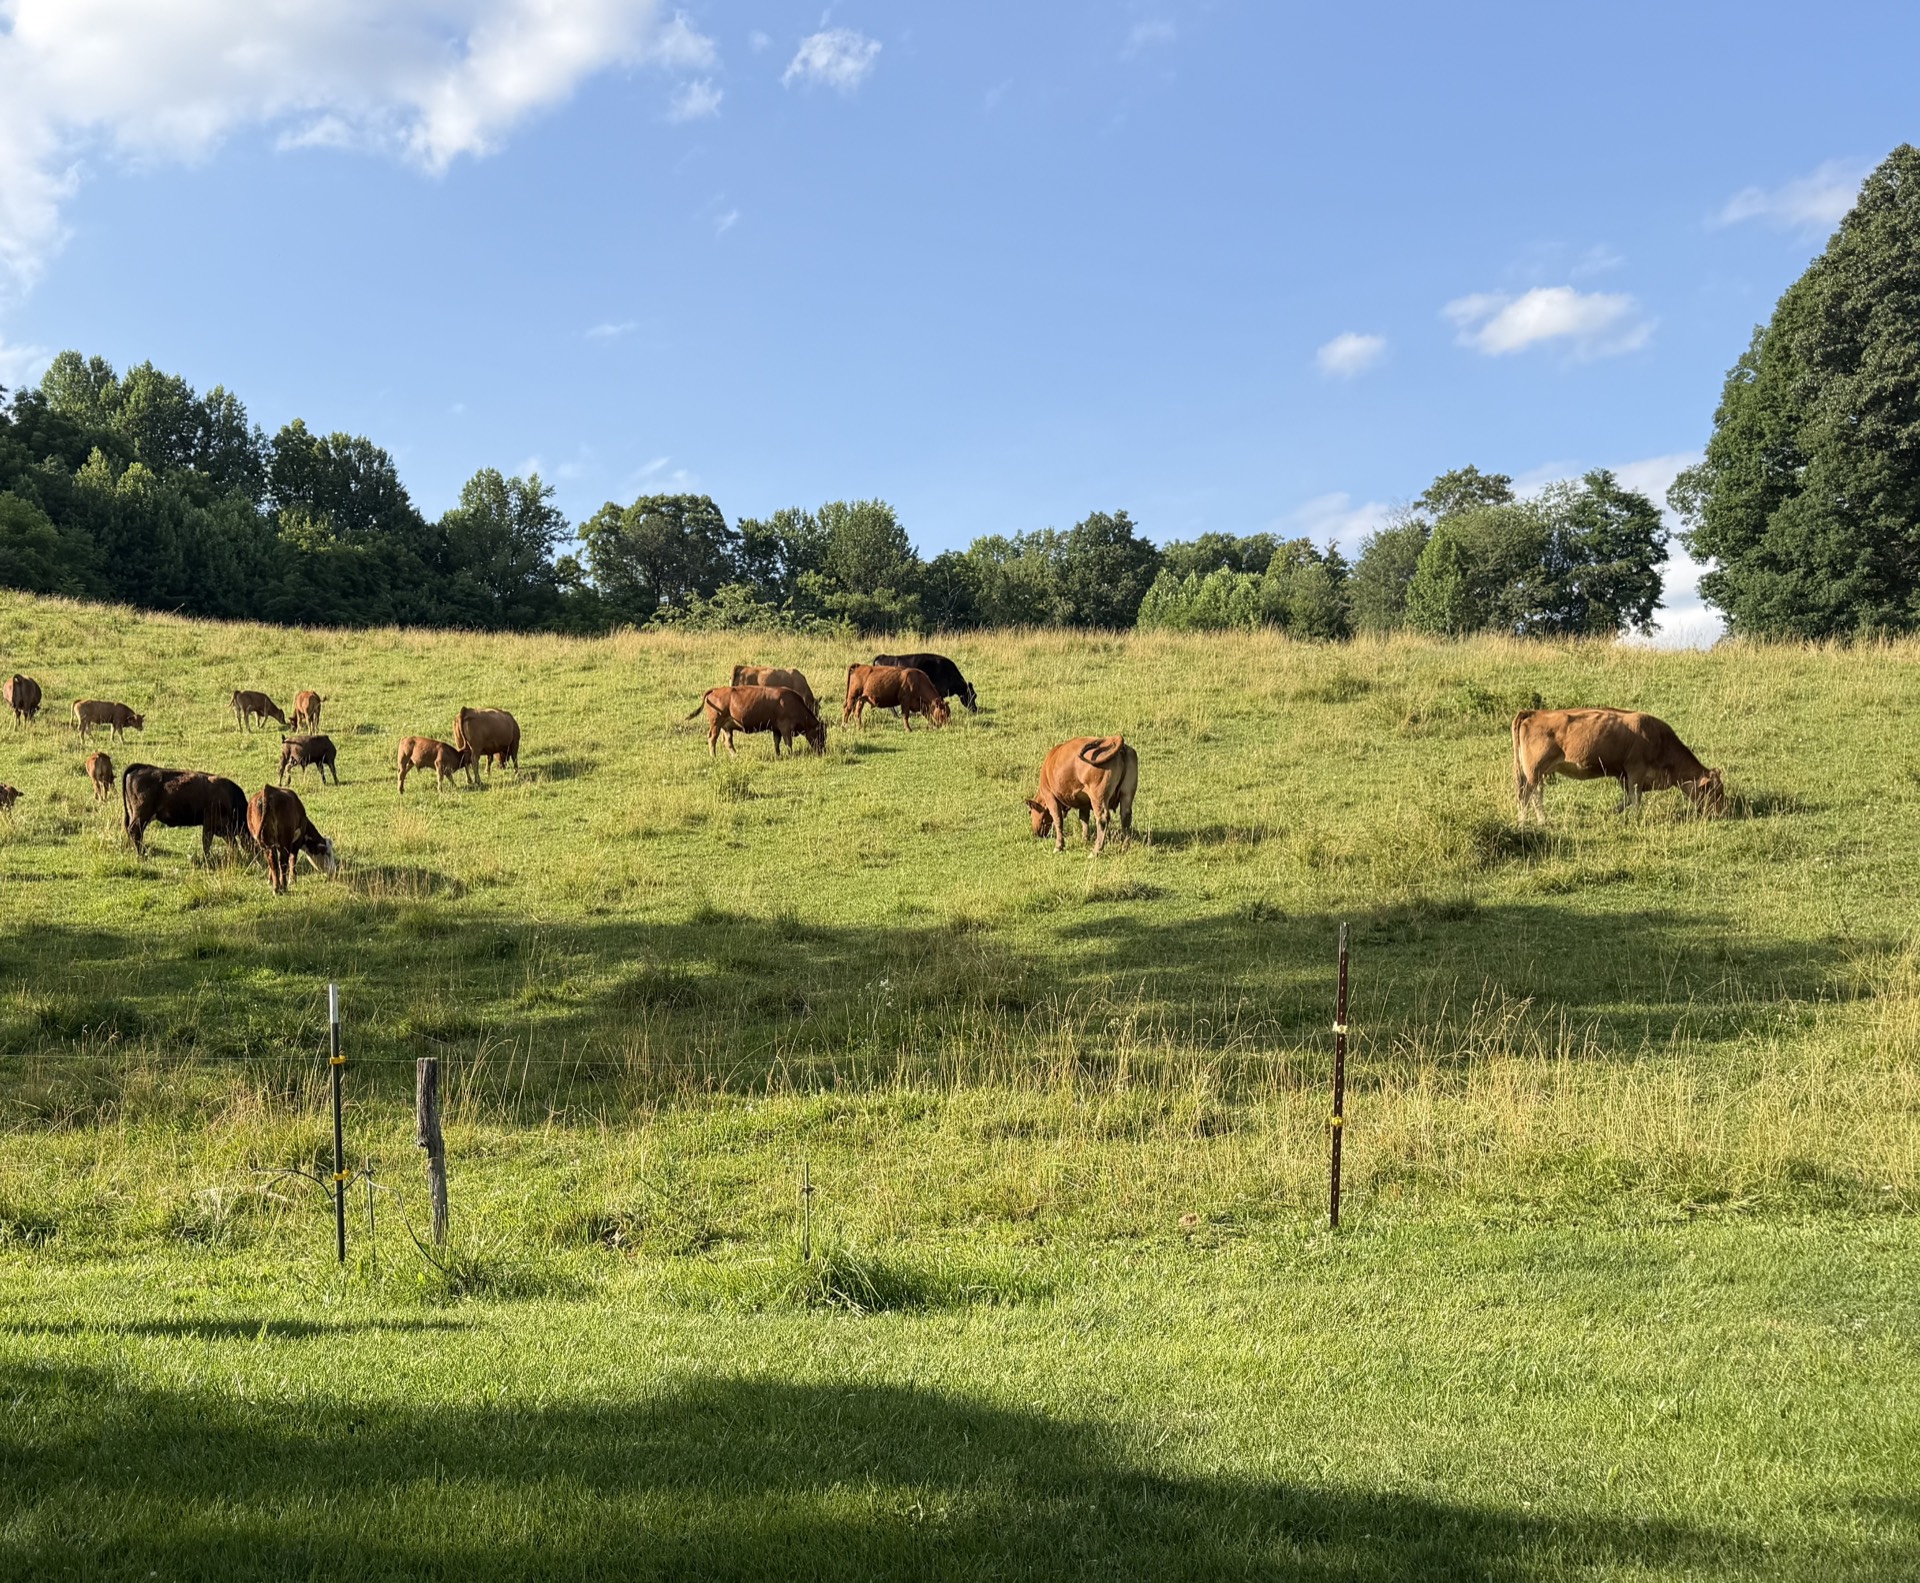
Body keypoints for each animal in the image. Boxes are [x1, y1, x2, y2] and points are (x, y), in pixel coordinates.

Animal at [121, 764, 252, 861]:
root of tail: (141, 767)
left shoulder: (223, 830)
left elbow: (231, 844)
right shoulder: (210, 825)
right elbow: (207, 843)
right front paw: (208, 859)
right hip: (142, 815)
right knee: (135, 831)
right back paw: (141, 855)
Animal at [684, 686, 826, 758]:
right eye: (821, 734)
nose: (823, 750)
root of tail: (715, 690)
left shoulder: (776, 728)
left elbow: (777, 742)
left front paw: (778, 755)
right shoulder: (785, 728)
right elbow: (788, 742)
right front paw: (790, 755)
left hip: (726, 727)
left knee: (728, 742)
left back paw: (735, 755)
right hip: (716, 724)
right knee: (712, 738)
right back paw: (714, 757)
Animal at [1512, 708, 1726, 822]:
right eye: (1715, 791)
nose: (1721, 813)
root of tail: (1533, 713)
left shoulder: (1624, 775)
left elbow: (1628, 799)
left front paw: (1612, 813)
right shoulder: (1636, 771)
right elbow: (1635, 798)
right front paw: (1636, 819)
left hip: (1539, 772)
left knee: (1534, 794)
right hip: (1534, 770)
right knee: (1528, 795)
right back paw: (1528, 822)